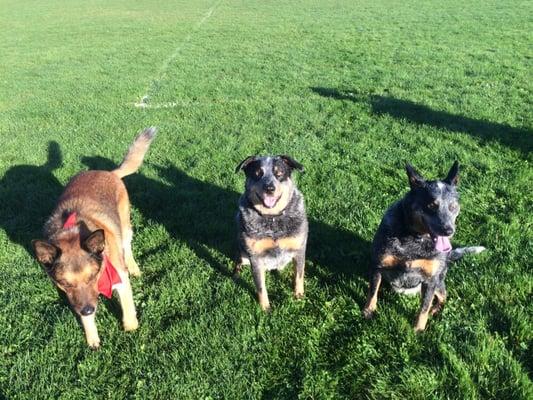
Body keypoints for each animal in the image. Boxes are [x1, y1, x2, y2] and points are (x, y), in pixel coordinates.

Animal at [32, 127, 156, 346]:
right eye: (66, 284)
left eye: (92, 277)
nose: (89, 310)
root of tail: (109, 172)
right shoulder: (77, 299)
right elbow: (85, 318)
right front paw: (92, 340)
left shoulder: (119, 277)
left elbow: (128, 306)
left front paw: (131, 328)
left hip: (125, 226)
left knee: (127, 246)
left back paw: (133, 266)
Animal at [234, 155, 308, 310]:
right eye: (257, 173)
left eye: (279, 173)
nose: (269, 188)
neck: (272, 218)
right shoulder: (255, 257)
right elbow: (261, 287)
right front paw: (265, 308)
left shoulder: (299, 249)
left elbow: (299, 276)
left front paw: (299, 297)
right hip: (242, 252)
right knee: (238, 261)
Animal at [364, 160, 484, 332]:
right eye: (431, 205)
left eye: (453, 206)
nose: (449, 230)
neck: (414, 239)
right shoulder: (378, 266)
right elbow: (372, 291)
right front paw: (368, 311)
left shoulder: (430, 280)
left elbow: (424, 307)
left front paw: (418, 330)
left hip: (439, 281)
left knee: (443, 296)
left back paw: (435, 309)